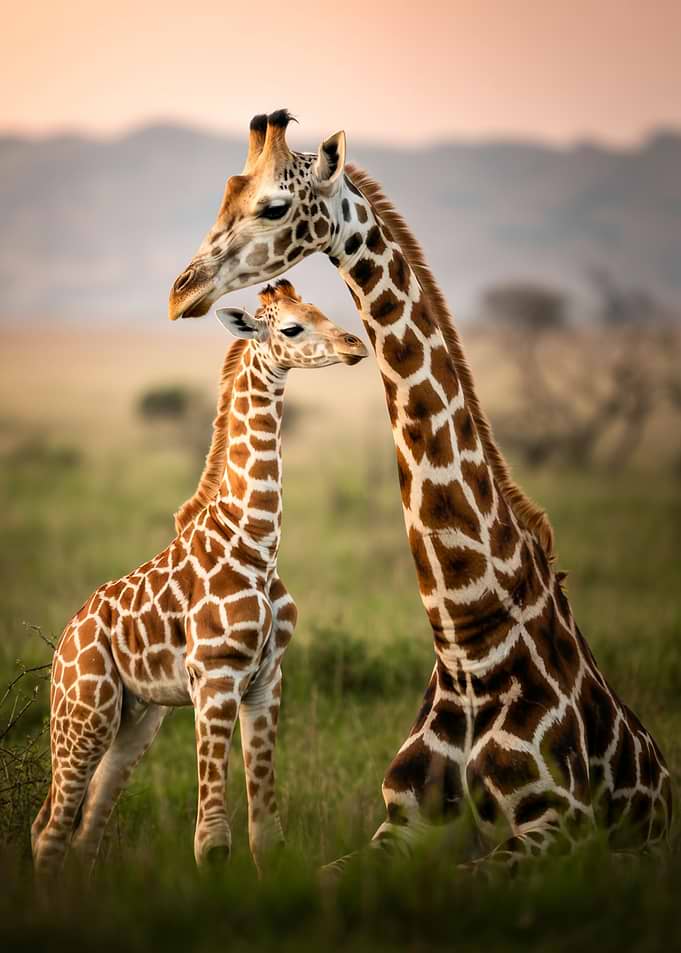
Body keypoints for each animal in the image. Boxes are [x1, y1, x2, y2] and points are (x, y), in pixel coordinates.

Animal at [31, 279, 367, 879]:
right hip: (83, 712)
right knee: (50, 830)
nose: (355, 344)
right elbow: (211, 842)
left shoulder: (267, 678)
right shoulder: (215, 675)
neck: (256, 540)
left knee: (84, 828)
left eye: (320, 309)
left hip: (136, 719)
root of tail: (65, 639)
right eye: (292, 327)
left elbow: (267, 834)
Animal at [168, 110, 672, 868]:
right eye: (226, 193)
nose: (182, 291)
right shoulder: (399, 820)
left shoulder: (555, 826)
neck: (468, 639)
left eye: (273, 206)